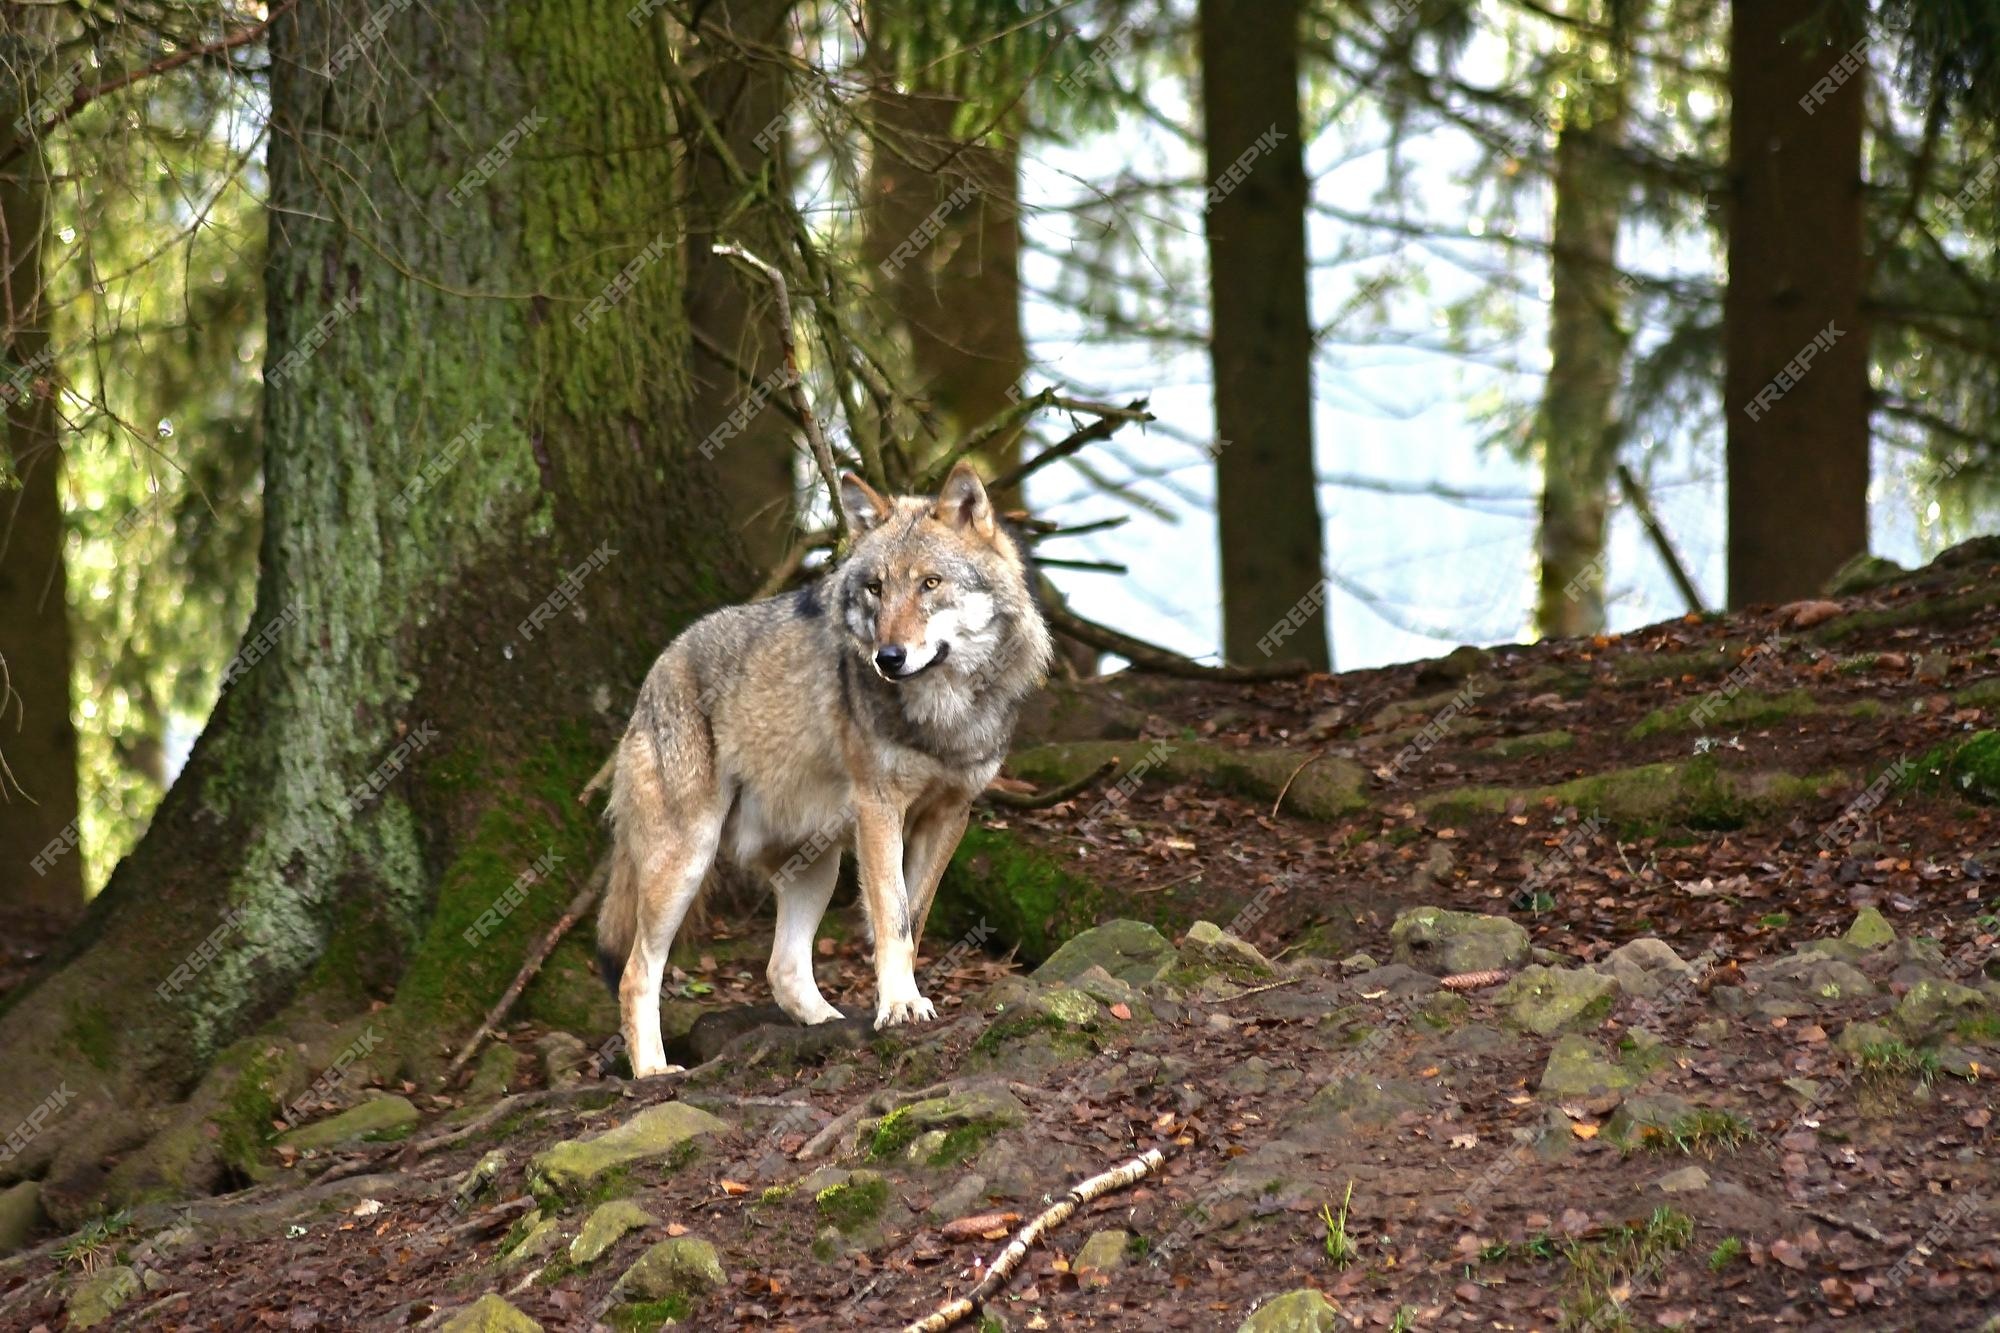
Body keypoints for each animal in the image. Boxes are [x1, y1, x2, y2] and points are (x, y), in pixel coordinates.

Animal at [592, 462, 1056, 1072]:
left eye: (930, 584)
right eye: (876, 588)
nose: (888, 658)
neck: (943, 714)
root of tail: (658, 668)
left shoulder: (950, 815)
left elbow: (913, 920)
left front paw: (899, 1001)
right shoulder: (880, 808)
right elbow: (891, 916)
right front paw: (900, 1005)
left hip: (817, 863)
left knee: (782, 969)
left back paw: (829, 1025)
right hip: (687, 860)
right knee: (635, 973)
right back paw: (652, 1070)